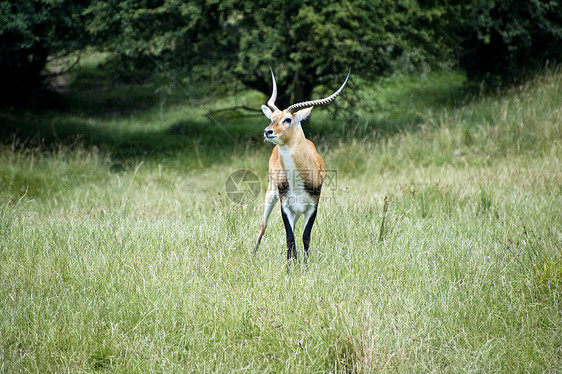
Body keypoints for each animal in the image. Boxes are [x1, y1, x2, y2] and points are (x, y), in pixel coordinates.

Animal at [254, 69, 350, 262]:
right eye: (272, 118)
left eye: (288, 119)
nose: (268, 131)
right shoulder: (285, 206)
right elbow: (290, 237)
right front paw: (290, 266)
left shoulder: (312, 206)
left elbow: (305, 236)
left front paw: (304, 264)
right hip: (271, 195)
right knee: (263, 225)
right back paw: (253, 255)